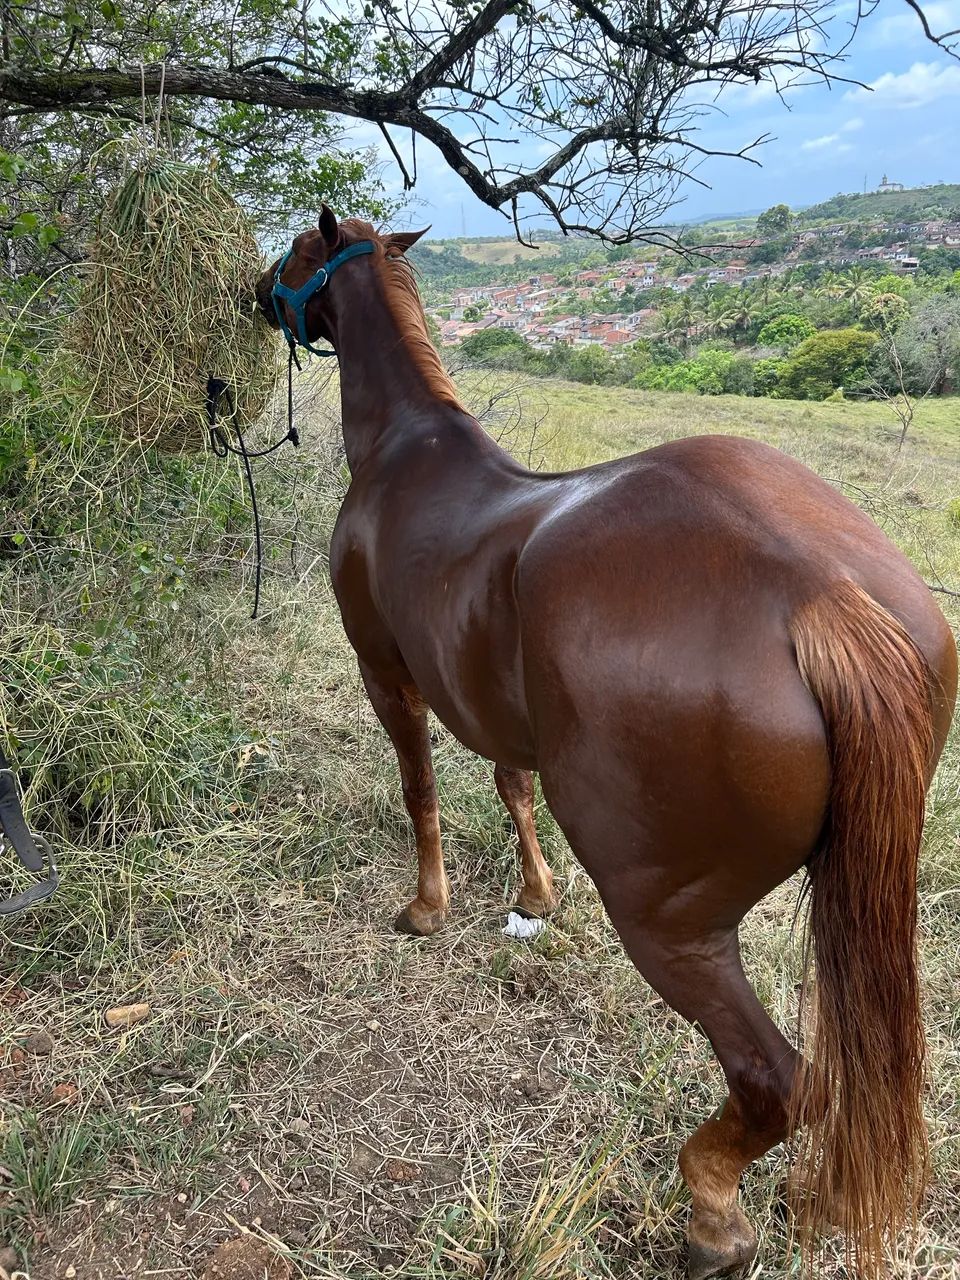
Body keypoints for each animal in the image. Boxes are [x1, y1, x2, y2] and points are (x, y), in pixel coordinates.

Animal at [256, 208, 957, 1280]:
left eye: (299, 253)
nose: (254, 291)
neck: (407, 451)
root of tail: (818, 596)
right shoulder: (492, 704)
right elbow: (511, 787)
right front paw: (536, 897)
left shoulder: (390, 676)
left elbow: (422, 790)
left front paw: (427, 908)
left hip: (671, 922)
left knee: (780, 1082)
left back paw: (713, 1216)